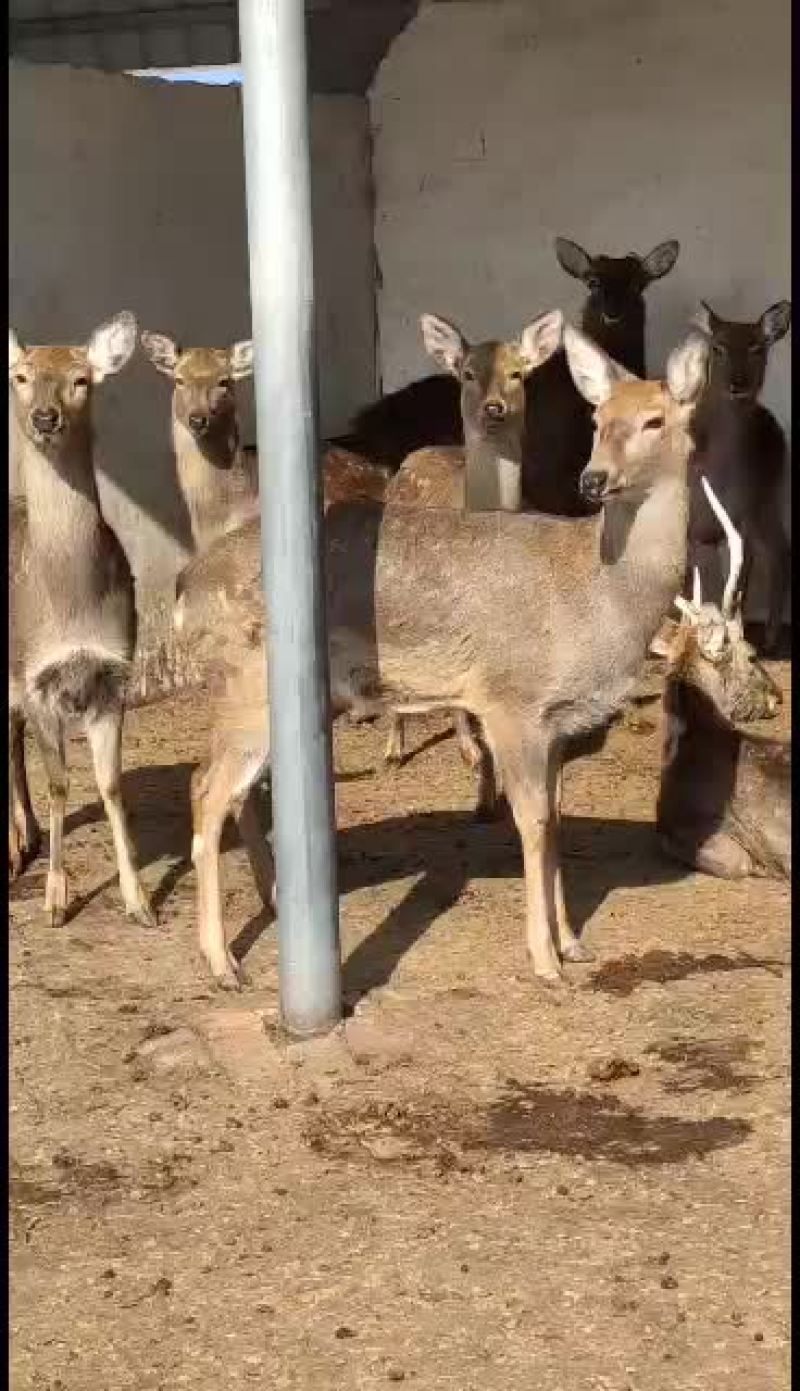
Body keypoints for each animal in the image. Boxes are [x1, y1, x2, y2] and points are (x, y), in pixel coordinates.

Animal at [686, 298, 791, 657]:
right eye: (717, 347)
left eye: (757, 347)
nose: (737, 383)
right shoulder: (694, 524)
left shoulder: (735, 522)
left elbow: (727, 589)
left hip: (766, 499)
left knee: (776, 553)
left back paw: (768, 640)